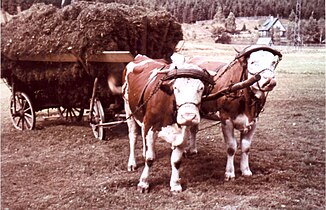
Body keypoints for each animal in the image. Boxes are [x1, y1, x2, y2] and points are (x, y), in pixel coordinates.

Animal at [122, 53, 214, 192]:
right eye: (176, 88)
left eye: (201, 88)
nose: (189, 116)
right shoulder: (150, 126)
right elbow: (149, 158)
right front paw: (143, 182)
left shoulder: (182, 133)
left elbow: (176, 161)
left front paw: (175, 184)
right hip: (129, 111)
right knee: (133, 136)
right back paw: (132, 163)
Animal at [186, 45, 282, 181]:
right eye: (252, 62)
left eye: (273, 62)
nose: (270, 81)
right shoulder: (226, 120)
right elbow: (231, 147)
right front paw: (230, 172)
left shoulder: (254, 121)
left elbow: (246, 147)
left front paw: (246, 170)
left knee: (193, 129)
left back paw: (193, 149)